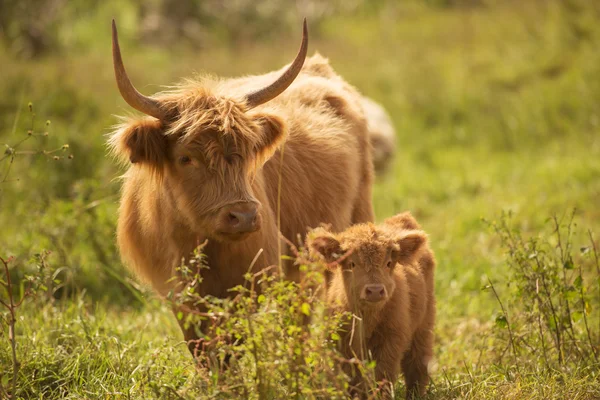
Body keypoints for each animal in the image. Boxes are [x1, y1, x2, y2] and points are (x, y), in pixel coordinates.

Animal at [105, 18, 372, 354]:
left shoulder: (248, 285)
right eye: (185, 157)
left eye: (246, 153)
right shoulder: (179, 295)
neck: (193, 242)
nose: (243, 216)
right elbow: (201, 347)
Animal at [310, 211, 436, 398]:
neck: (367, 319)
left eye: (389, 263)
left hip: (423, 327)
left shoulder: (391, 340)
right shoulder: (343, 344)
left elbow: (382, 375)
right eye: (352, 263)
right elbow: (351, 379)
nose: (375, 290)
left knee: (417, 365)